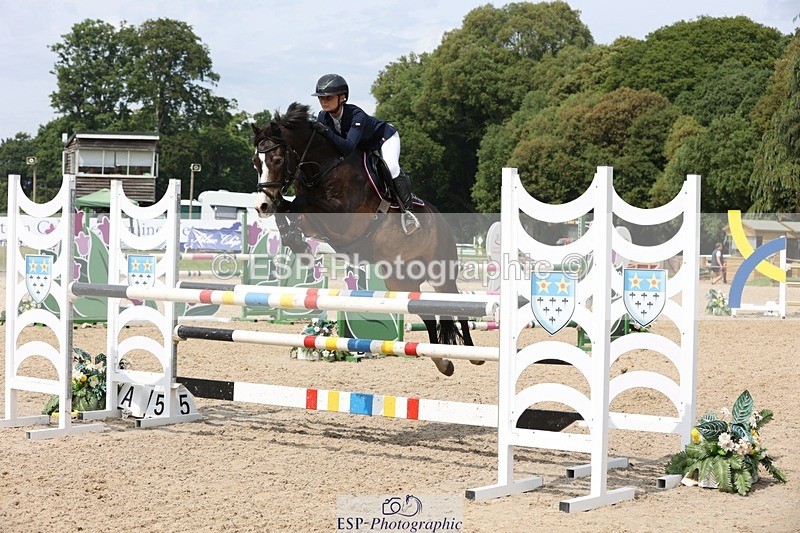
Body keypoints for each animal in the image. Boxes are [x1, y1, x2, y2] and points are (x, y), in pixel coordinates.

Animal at [251, 102, 481, 376]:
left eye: (276, 159)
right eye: (255, 162)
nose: (262, 206)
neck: (323, 168)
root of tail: (442, 220)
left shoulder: (345, 221)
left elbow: (299, 202)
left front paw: (297, 240)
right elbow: (289, 210)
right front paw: (296, 242)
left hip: (441, 272)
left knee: (457, 305)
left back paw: (473, 354)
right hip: (401, 280)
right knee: (425, 313)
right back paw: (442, 361)